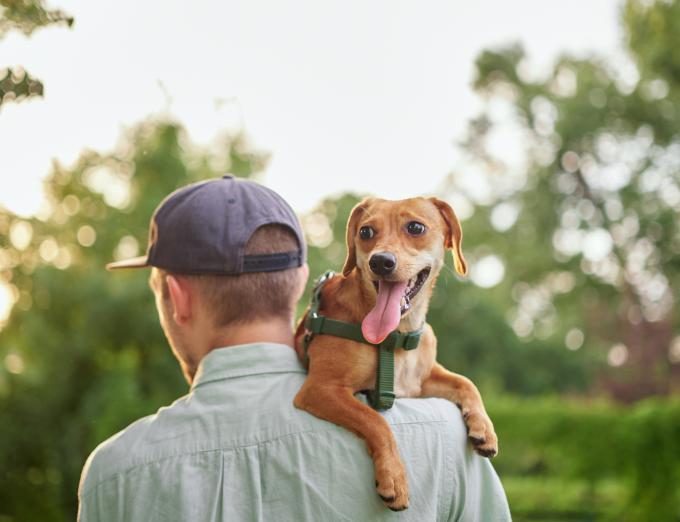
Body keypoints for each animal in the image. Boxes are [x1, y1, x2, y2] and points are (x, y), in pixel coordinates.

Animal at [294, 195, 500, 508]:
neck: (395, 338)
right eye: (365, 232)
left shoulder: (420, 381)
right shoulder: (321, 387)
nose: (380, 261)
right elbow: (375, 419)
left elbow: (466, 382)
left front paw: (483, 427)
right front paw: (393, 476)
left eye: (415, 227)